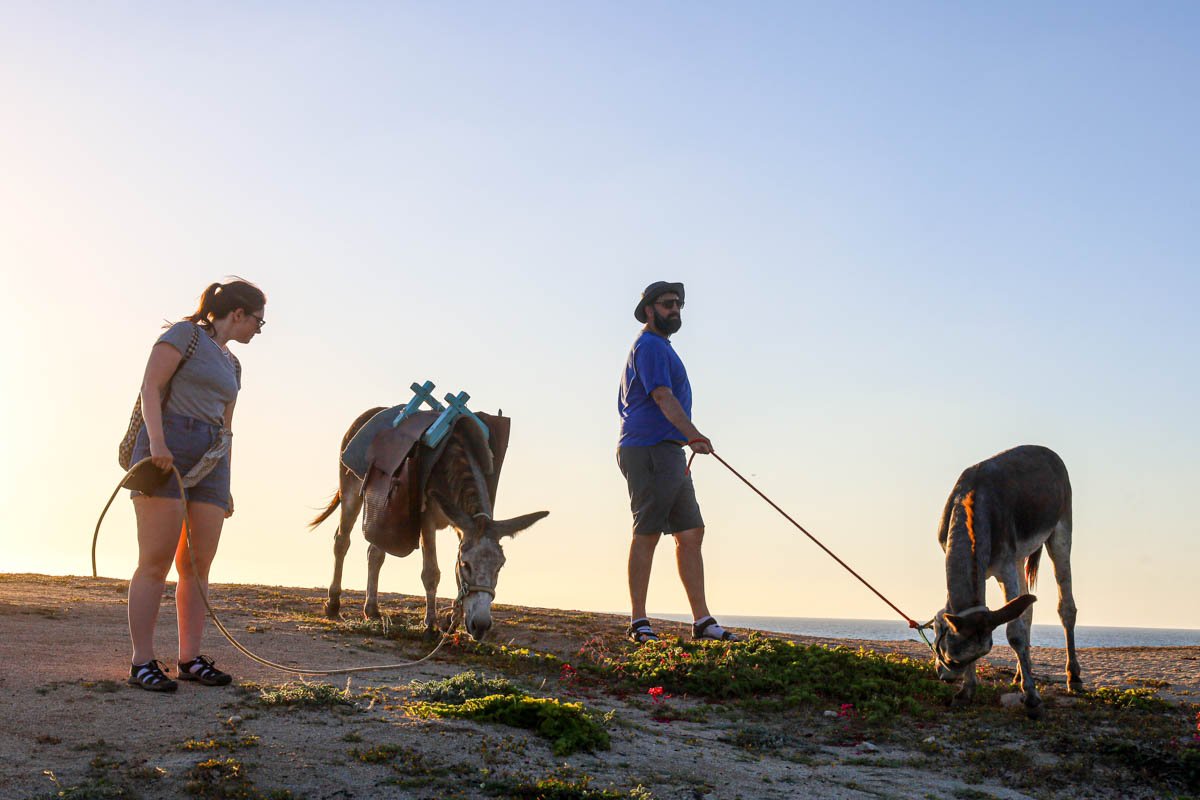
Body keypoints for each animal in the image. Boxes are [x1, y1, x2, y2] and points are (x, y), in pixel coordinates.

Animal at [311, 407, 548, 641]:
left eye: (500, 566)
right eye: (466, 564)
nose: (480, 626)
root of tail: (372, 412)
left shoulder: (462, 524)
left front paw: (452, 621)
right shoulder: (428, 519)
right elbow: (431, 573)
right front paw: (431, 625)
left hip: (384, 514)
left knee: (375, 553)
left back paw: (372, 610)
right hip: (350, 490)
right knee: (342, 541)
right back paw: (333, 603)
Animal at [931, 444, 1081, 718]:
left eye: (955, 660)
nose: (945, 676)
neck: (972, 500)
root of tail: (1045, 450)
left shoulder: (1006, 566)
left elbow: (1015, 633)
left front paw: (1032, 698)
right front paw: (966, 692)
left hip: (1061, 528)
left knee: (1065, 606)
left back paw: (1073, 677)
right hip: (1021, 557)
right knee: (1027, 608)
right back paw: (1021, 674)